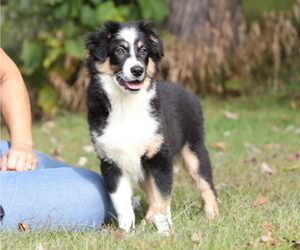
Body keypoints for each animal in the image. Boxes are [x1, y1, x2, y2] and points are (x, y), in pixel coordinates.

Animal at [84, 19, 218, 234]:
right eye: (119, 50)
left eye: (144, 50)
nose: (138, 70)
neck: (126, 103)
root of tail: (187, 91)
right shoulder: (111, 161)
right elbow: (123, 203)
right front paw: (125, 232)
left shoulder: (159, 158)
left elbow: (162, 198)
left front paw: (165, 232)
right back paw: (147, 223)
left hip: (194, 149)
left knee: (206, 183)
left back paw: (213, 216)